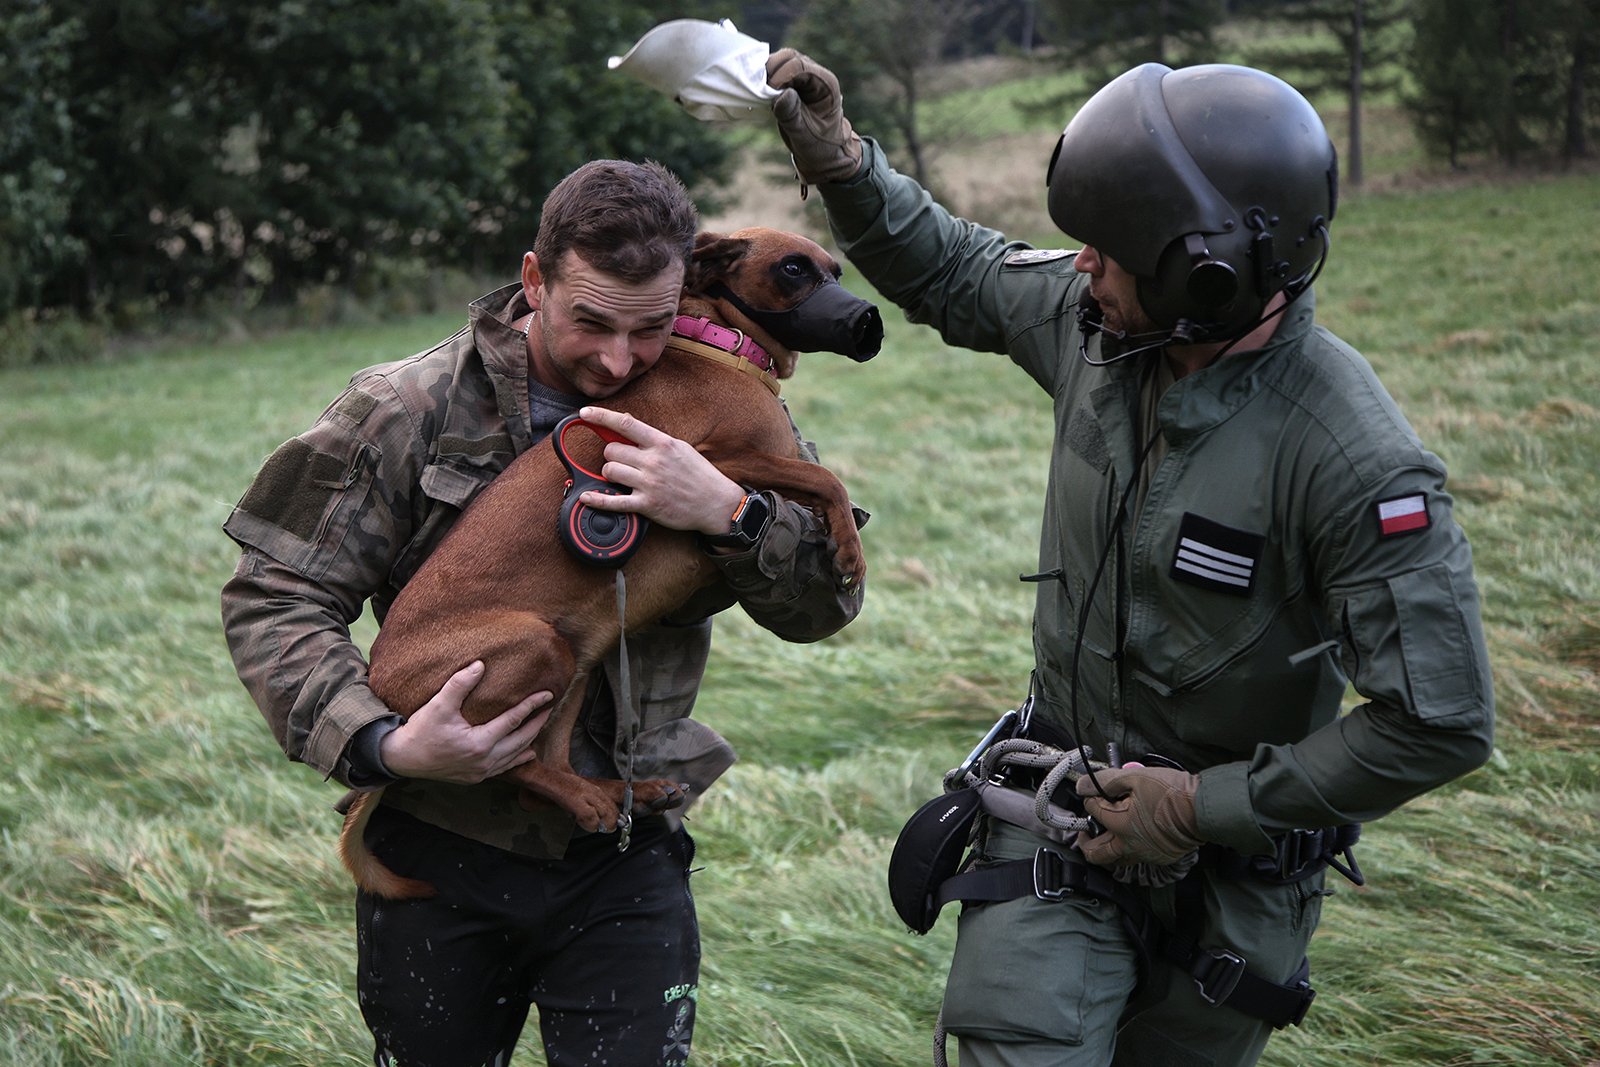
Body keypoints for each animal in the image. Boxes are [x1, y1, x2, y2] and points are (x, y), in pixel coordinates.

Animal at [342, 227, 883, 902]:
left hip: (579, 659)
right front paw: (850, 551)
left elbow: (816, 488)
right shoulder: (714, 459)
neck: (721, 344)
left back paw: (625, 793)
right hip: (537, 647)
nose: (868, 320)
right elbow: (827, 478)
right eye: (793, 269)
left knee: (544, 766)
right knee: (508, 766)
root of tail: (386, 700)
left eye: (836, 270)